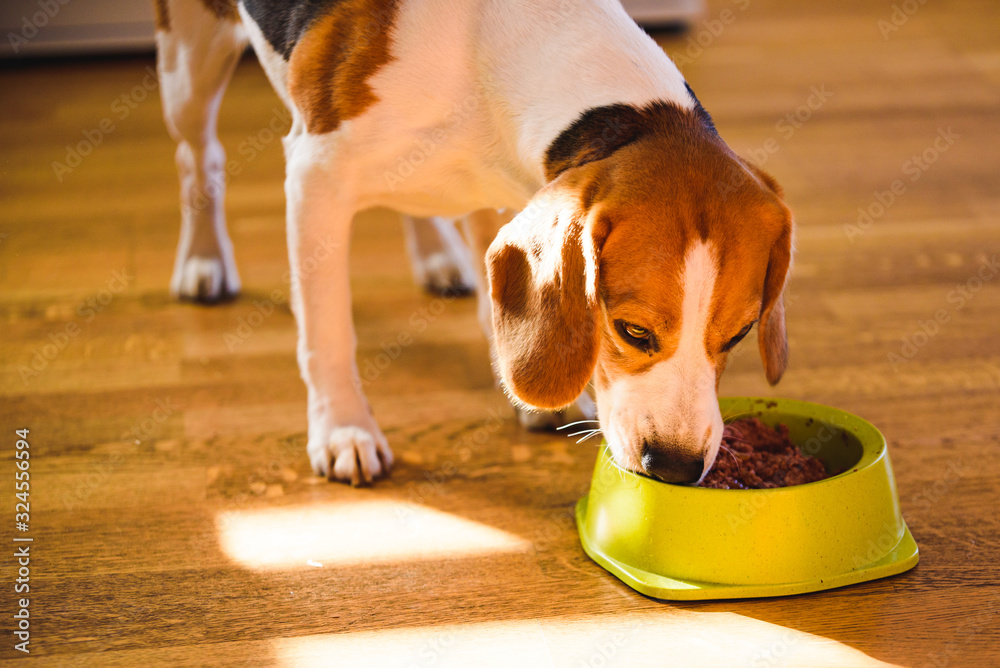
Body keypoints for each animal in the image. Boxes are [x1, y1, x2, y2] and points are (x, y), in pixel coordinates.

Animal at [156, 0, 792, 486]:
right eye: (632, 331)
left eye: (738, 335)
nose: (677, 468)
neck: (492, 57)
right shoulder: (316, 177)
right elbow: (328, 332)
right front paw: (343, 429)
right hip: (189, 67)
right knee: (197, 155)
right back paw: (203, 261)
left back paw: (437, 255)